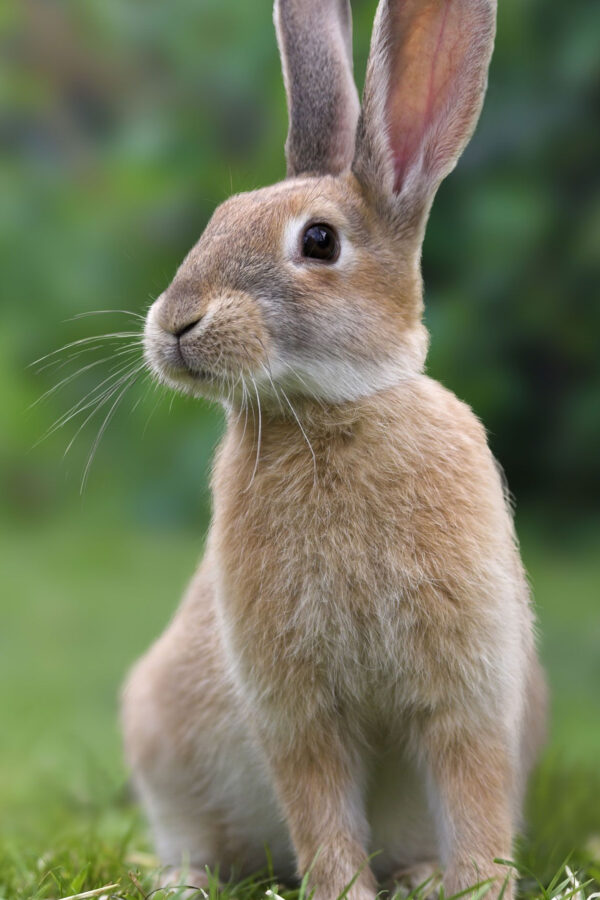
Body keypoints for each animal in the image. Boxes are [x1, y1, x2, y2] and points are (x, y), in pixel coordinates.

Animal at [121, 0, 547, 898]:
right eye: (218, 219)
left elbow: (475, 792)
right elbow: (319, 807)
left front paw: (477, 883)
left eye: (319, 242)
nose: (174, 323)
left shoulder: (468, 691)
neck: (330, 413)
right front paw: (345, 891)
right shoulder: (296, 708)